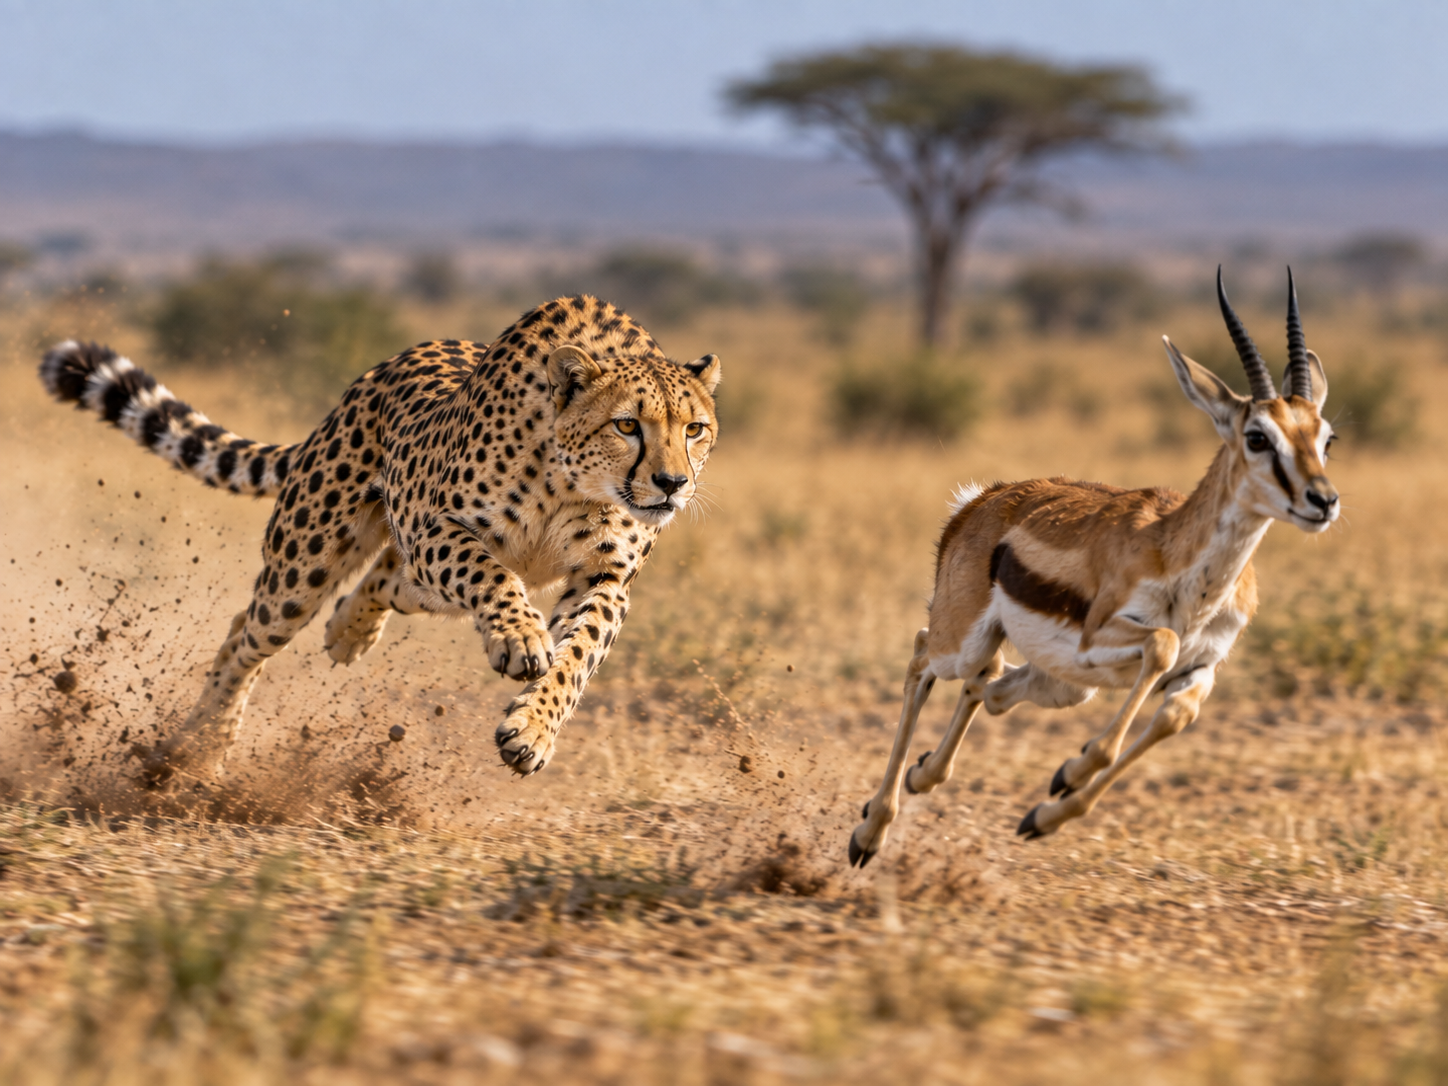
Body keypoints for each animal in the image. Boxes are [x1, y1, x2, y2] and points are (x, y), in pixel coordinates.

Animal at [39, 294, 721, 790]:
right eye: (627, 425)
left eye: (695, 429)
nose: (672, 484)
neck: (574, 482)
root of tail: (372, 373)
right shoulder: (434, 526)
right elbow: (491, 575)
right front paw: (521, 638)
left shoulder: (604, 578)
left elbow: (576, 657)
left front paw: (532, 729)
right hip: (306, 563)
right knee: (246, 634)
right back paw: (197, 753)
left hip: (409, 576)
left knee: (384, 582)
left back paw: (349, 630)